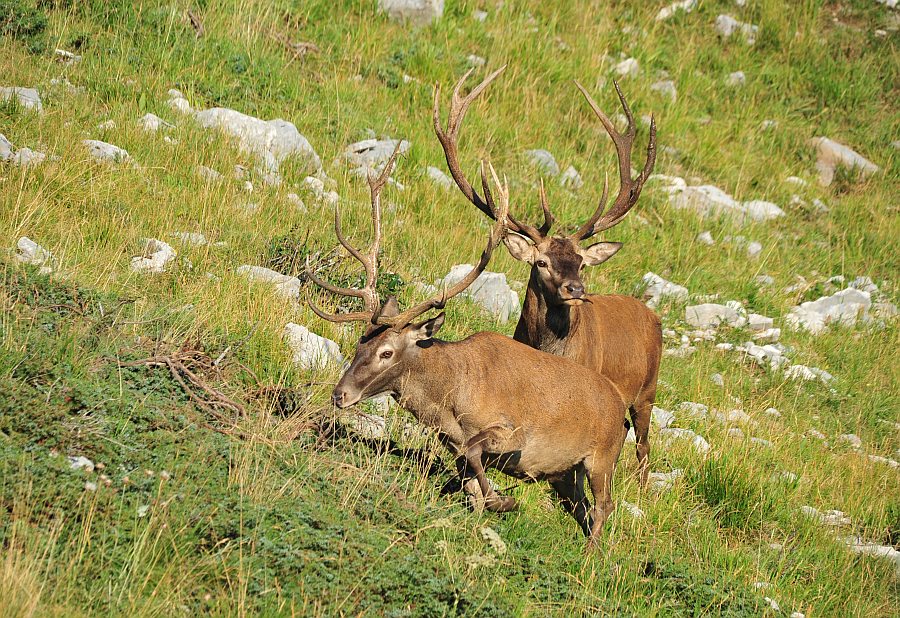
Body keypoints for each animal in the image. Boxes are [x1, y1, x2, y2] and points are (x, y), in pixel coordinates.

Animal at [306, 146, 628, 540]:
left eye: (387, 352)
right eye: (357, 346)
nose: (340, 395)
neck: (449, 402)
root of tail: (620, 406)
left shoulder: (512, 431)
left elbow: (474, 456)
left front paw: (505, 500)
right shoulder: (453, 441)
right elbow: (469, 478)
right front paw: (483, 508)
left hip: (603, 456)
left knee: (604, 506)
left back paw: (592, 551)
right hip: (572, 470)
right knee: (582, 506)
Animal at [436, 67, 660, 484]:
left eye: (582, 262)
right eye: (540, 262)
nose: (576, 288)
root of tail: (652, 314)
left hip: (648, 390)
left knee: (643, 442)